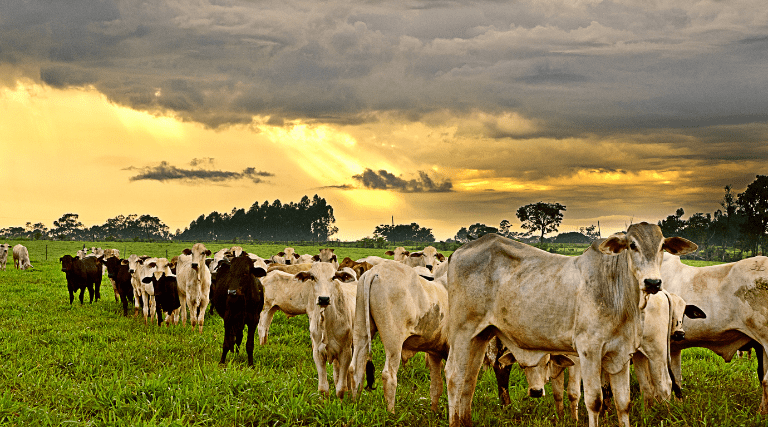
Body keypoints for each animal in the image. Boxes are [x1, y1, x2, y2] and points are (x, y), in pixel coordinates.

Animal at [350, 262, 450, 412]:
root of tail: (374, 271)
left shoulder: (434, 353)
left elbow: (436, 386)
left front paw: (434, 411)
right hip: (394, 342)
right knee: (388, 375)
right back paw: (391, 412)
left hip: (361, 331)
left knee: (355, 368)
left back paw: (354, 403)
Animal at [440, 224, 700, 427]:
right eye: (632, 245)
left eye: (662, 247)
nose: (653, 282)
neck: (616, 291)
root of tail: (458, 252)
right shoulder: (588, 351)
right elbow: (594, 401)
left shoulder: (621, 354)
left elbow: (623, 403)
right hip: (462, 331)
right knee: (454, 376)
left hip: (481, 335)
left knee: (469, 379)